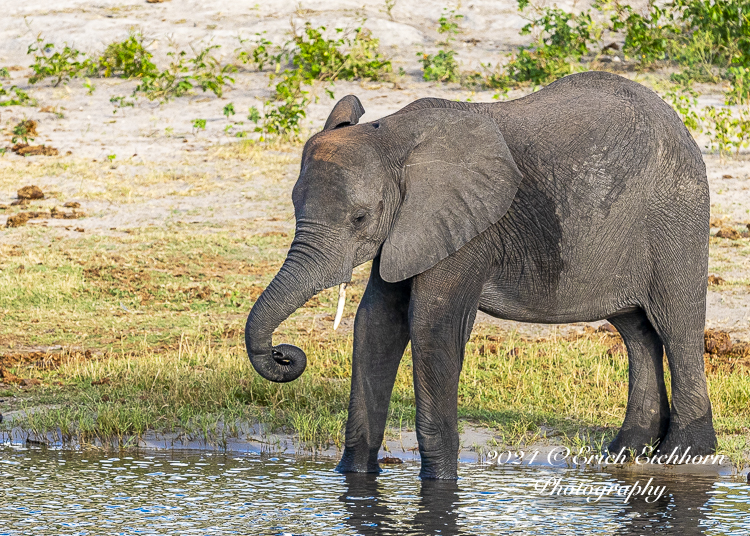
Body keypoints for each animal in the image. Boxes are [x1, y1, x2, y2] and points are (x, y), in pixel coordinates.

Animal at [245, 70, 716, 478]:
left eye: (360, 218)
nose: (285, 354)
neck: (393, 136)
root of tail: (676, 120)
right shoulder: (410, 226)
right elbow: (377, 324)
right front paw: (354, 476)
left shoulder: (466, 228)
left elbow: (432, 327)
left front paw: (439, 483)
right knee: (635, 329)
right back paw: (625, 451)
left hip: (677, 214)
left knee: (676, 325)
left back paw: (683, 454)